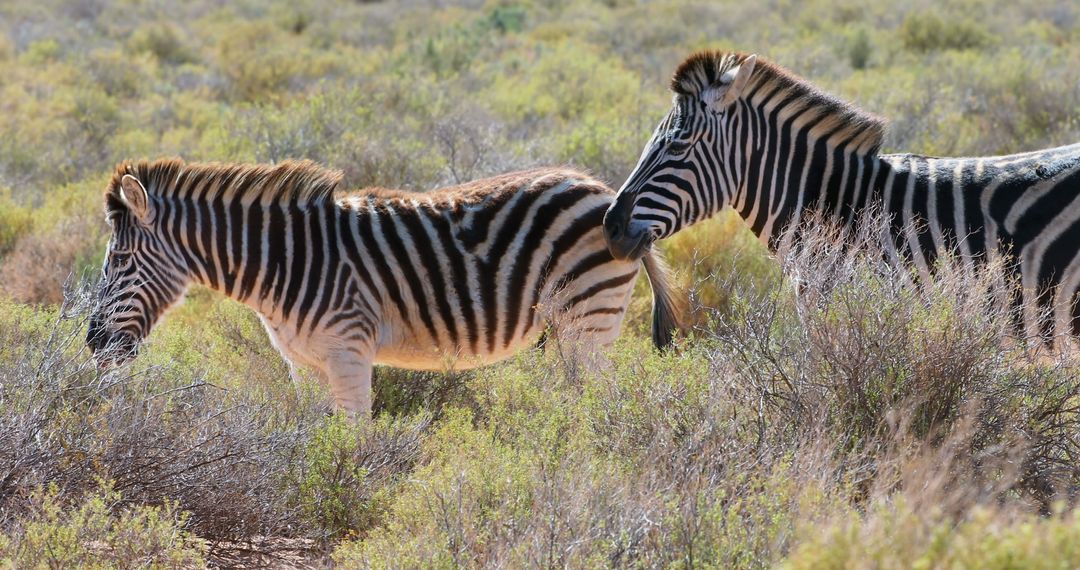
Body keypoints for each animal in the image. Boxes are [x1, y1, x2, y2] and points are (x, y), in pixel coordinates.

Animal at [88, 159, 682, 414]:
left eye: (118, 260)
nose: (93, 344)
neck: (284, 263)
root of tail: (607, 193)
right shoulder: (303, 365)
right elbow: (311, 436)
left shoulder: (349, 351)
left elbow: (354, 437)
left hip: (587, 318)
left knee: (603, 398)